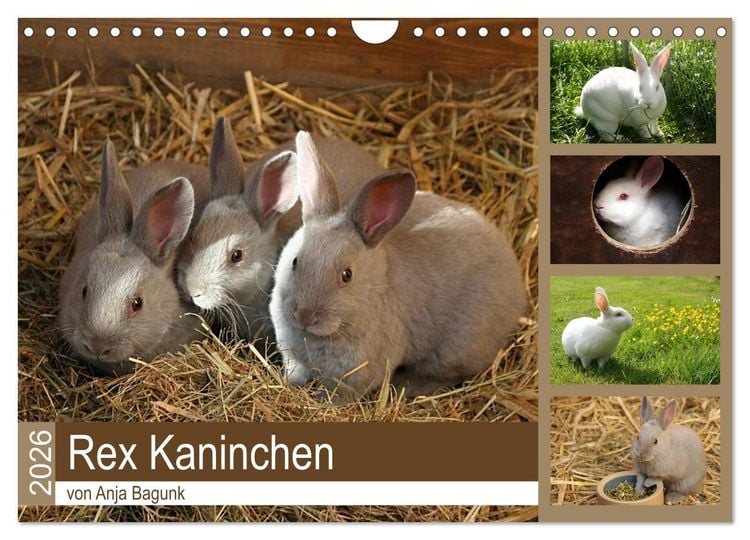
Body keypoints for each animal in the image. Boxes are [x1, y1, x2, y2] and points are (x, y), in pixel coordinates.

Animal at [269, 131, 528, 400]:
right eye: (295, 261)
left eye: (347, 275)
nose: (304, 316)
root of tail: (517, 291)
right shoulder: (294, 359)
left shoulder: (353, 377)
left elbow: (337, 396)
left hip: (456, 350)